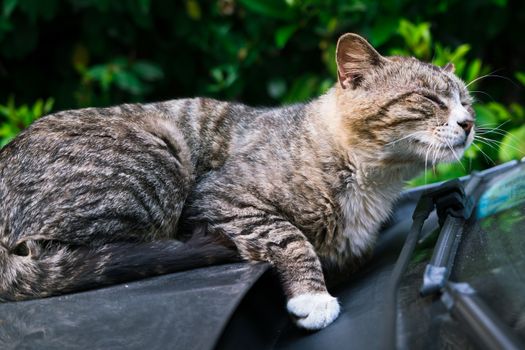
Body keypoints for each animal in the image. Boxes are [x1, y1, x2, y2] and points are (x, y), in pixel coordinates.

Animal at [0, 33, 474, 330]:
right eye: (429, 99)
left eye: (466, 102)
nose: (469, 123)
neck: (373, 176)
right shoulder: (219, 197)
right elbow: (288, 235)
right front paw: (313, 296)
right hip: (157, 164)